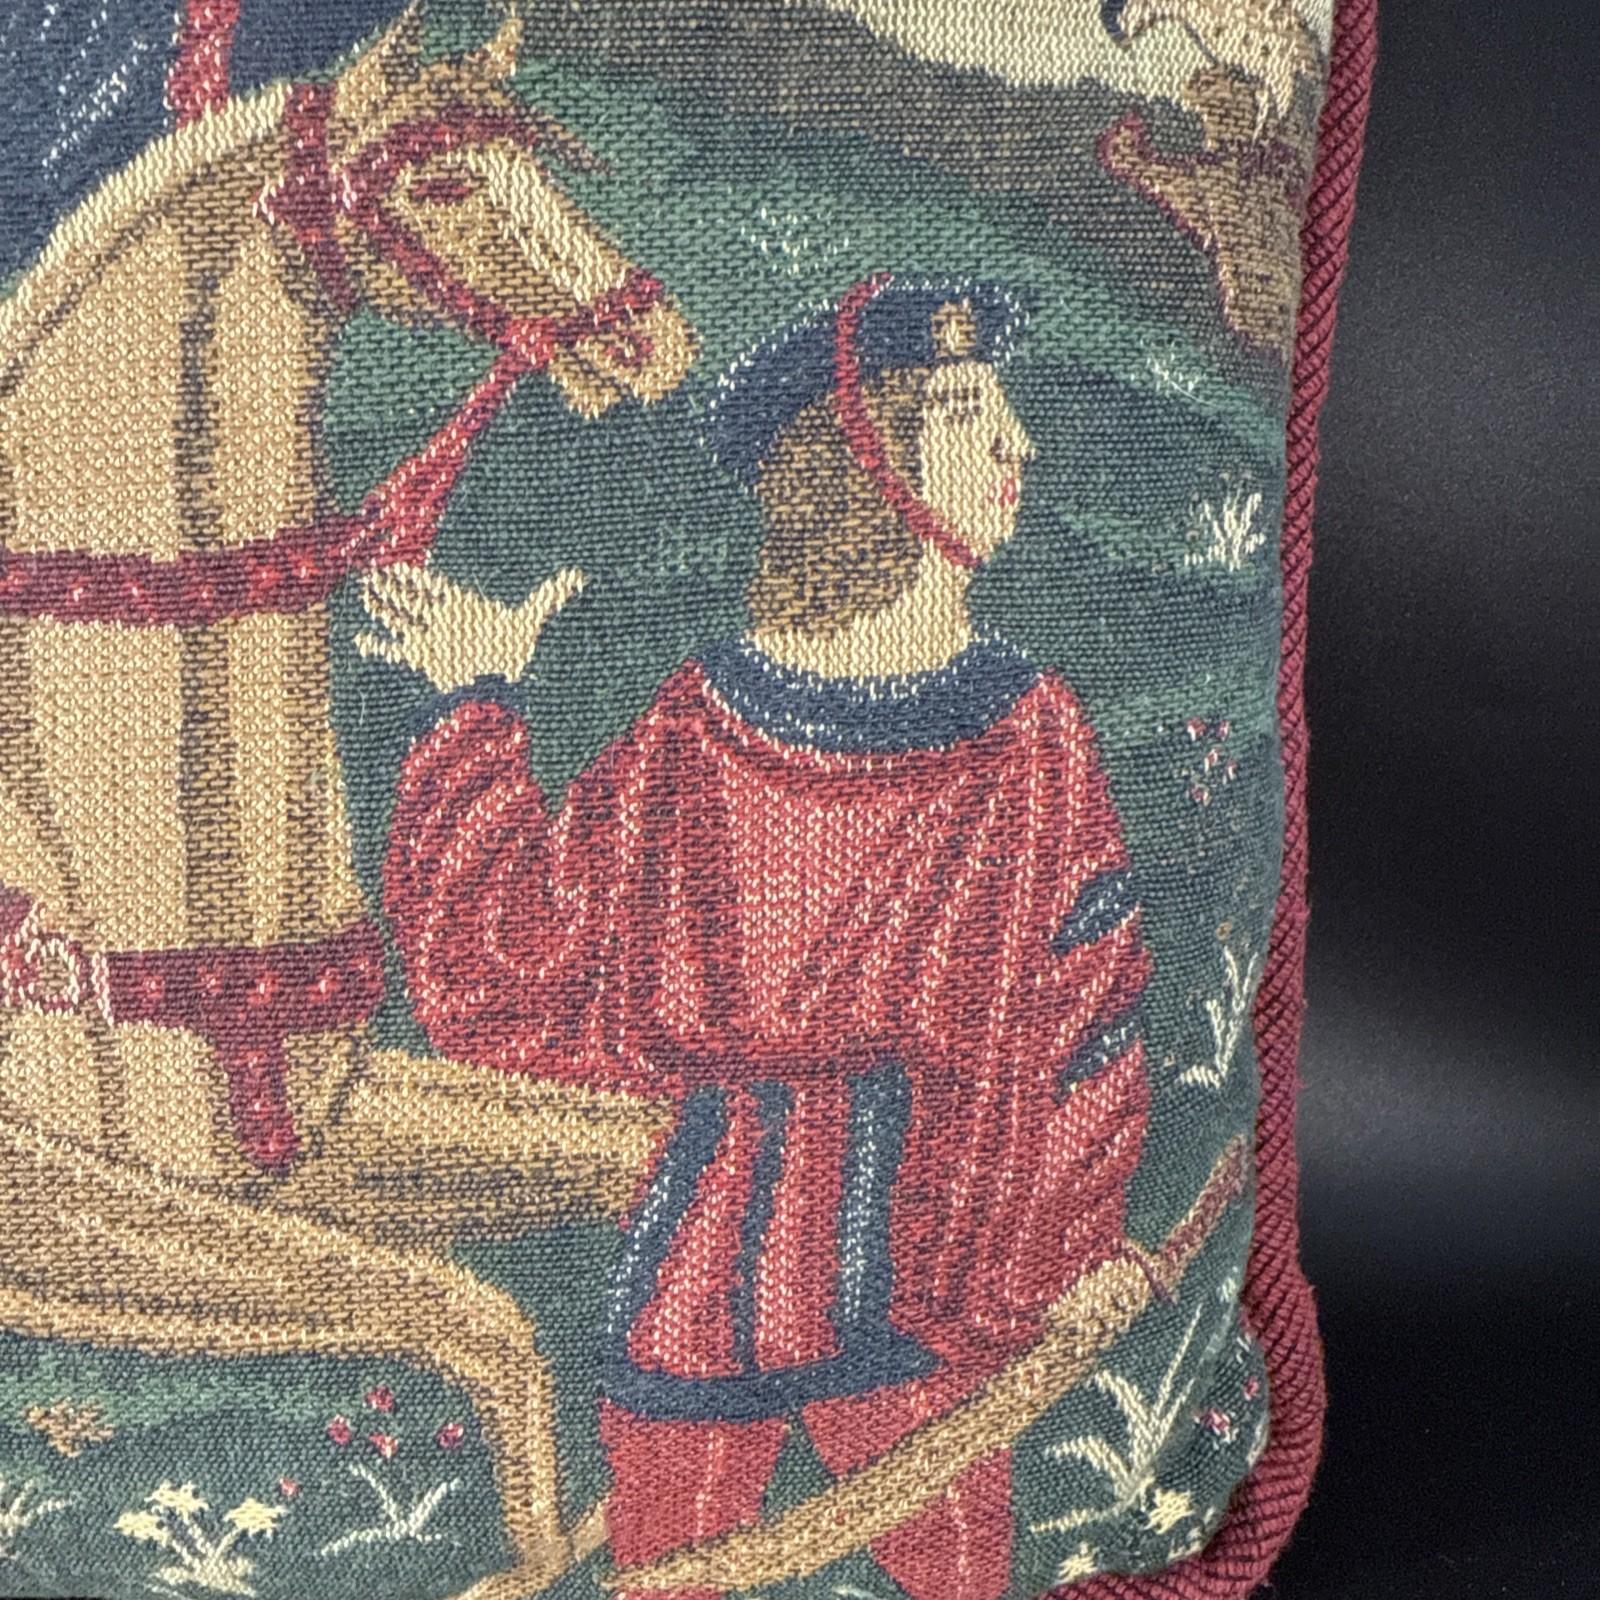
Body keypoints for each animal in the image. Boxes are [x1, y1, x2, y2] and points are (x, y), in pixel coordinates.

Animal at [0, 10, 688, 1595]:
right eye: (436, 185)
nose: (649, 335)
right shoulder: (53, 1203)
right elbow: (472, 1316)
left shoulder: (316, 1141)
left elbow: (636, 1167)